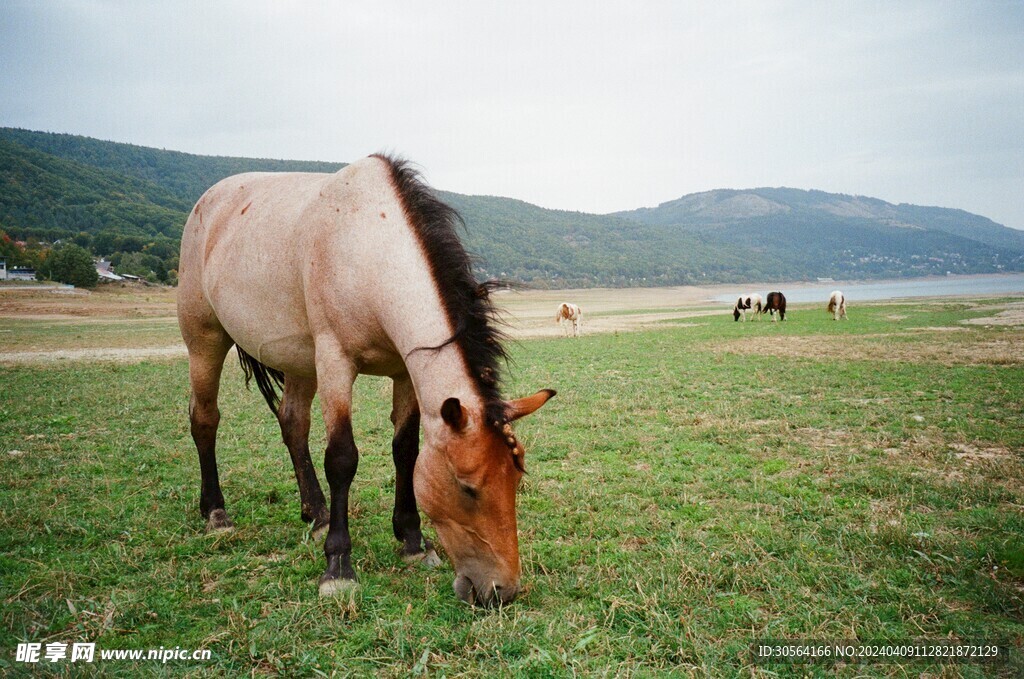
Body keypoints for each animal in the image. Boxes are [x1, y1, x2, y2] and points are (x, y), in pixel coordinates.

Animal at [180, 153, 557, 606]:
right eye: (468, 488)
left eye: (515, 479)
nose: (502, 591)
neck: (369, 249)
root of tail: (207, 202)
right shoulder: (335, 362)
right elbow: (342, 458)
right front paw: (338, 568)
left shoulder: (404, 371)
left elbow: (405, 451)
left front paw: (413, 542)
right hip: (205, 339)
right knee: (205, 420)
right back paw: (217, 514)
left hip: (298, 359)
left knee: (293, 424)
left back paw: (317, 516)